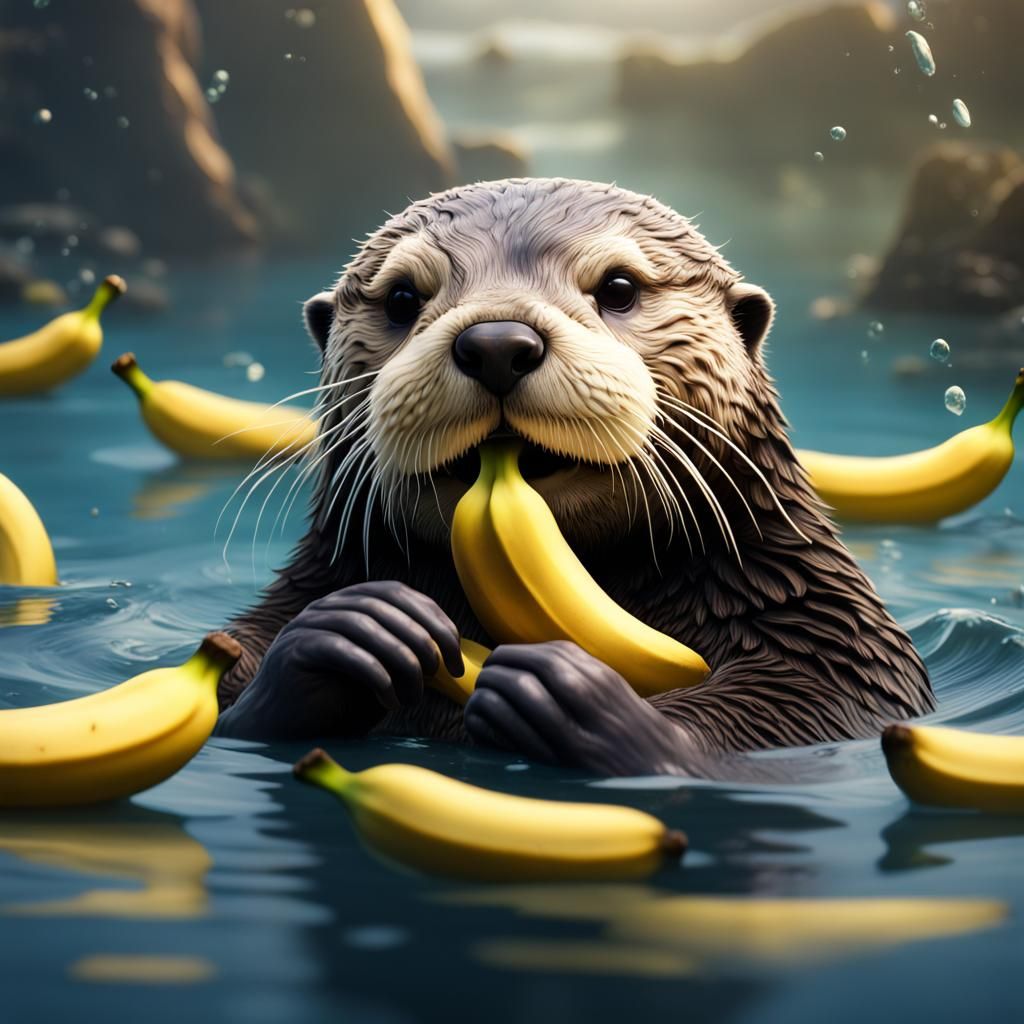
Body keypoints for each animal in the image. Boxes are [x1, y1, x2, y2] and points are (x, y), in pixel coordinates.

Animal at [214, 178, 933, 776]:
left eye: (618, 288)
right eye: (401, 297)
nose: (497, 343)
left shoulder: (824, 632)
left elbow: (795, 703)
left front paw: (580, 699)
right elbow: (226, 684)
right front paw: (344, 632)